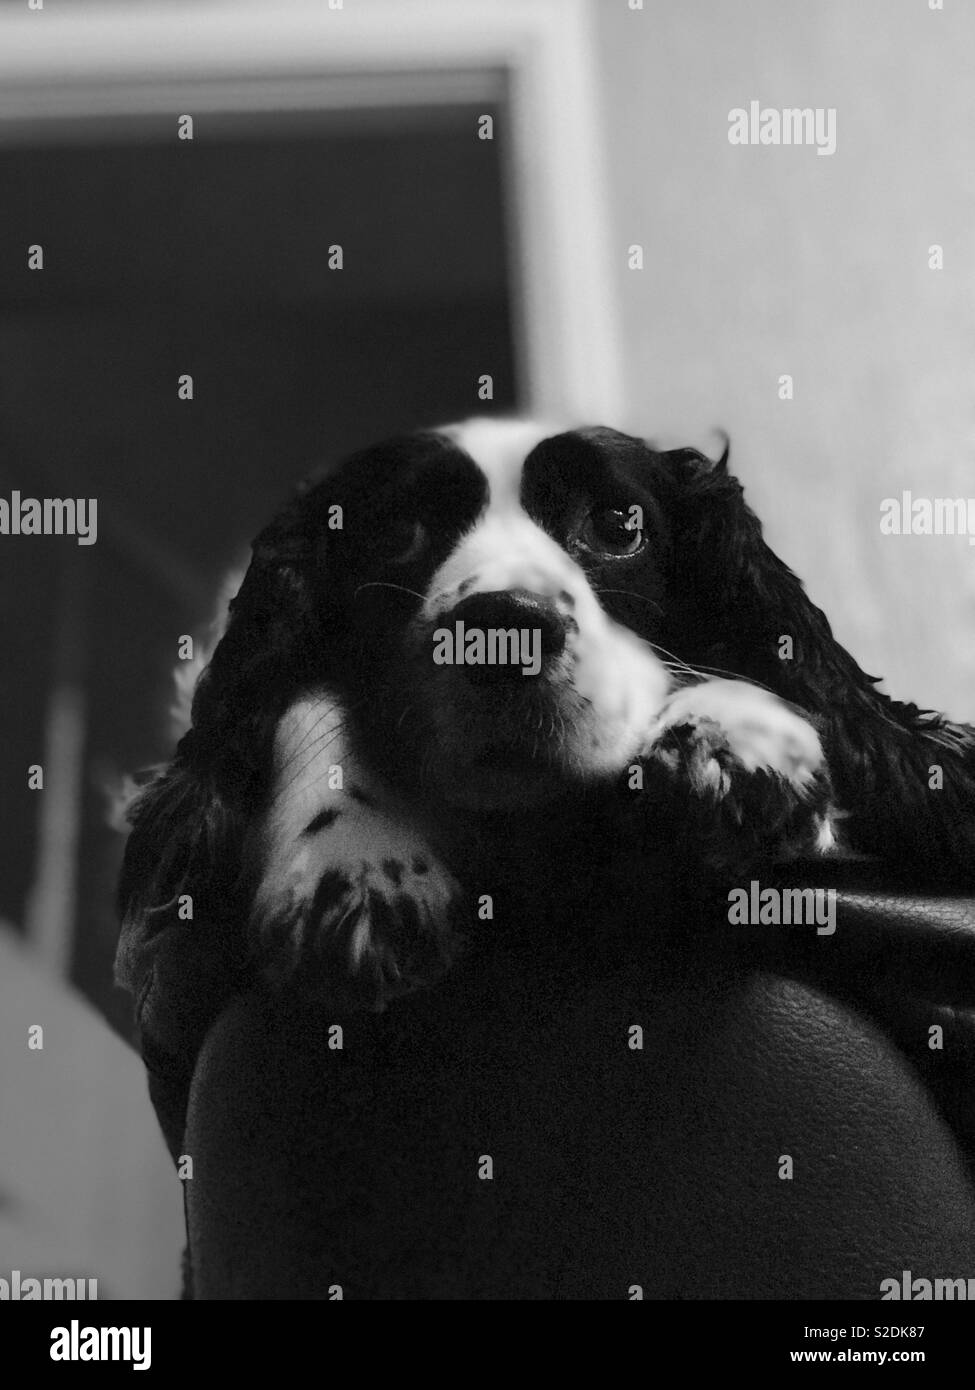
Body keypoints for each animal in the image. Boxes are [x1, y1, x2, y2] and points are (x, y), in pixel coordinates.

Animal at [118, 417, 973, 1017]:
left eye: (618, 523)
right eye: (396, 534)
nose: (502, 633)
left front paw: (731, 734)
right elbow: (301, 708)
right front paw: (354, 856)